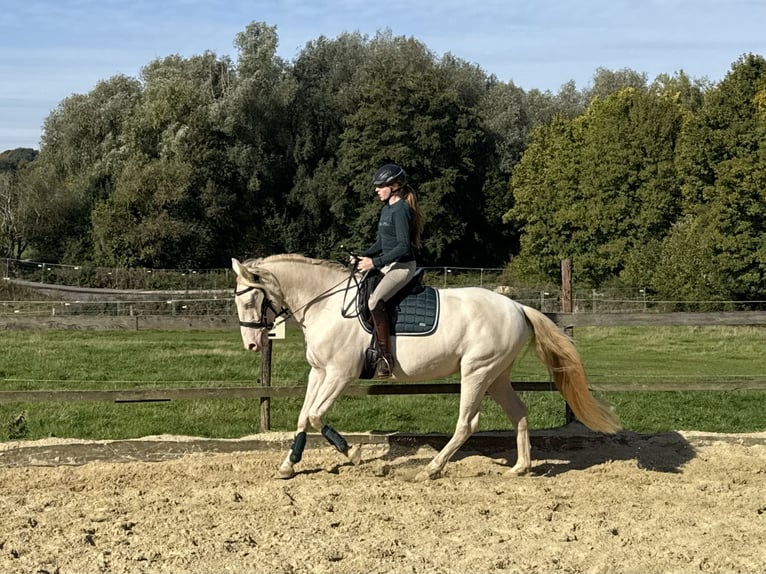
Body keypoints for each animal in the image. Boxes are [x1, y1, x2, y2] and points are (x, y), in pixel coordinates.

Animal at [232, 254, 620, 480]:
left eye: (251, 299)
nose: (251, 345)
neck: (324, 304)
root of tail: (517, 307)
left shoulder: (340, 374)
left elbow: (315, 416)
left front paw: (356, 455)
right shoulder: (320, 372)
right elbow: (304, 417)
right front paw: (288, 465)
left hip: (476, 372)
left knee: (467, 423)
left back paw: (431, 470)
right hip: (496, 376)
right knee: (519, 412)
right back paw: (520, 468)